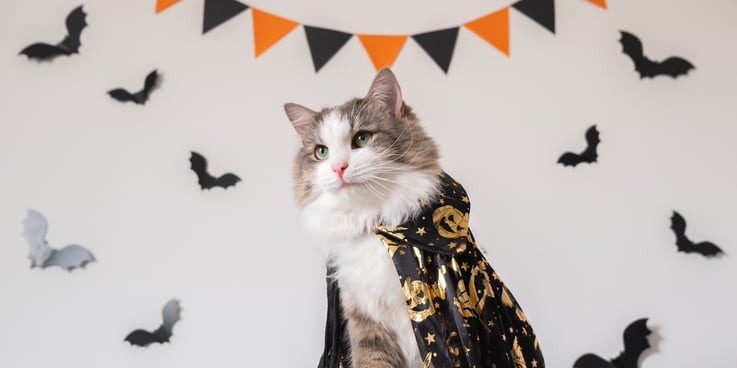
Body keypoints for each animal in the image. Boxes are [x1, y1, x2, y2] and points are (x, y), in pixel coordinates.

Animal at [284, 68, 544, 368]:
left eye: (362, 139)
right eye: (321, 152)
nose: (338, 168)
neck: (375, 223)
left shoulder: (438, 328)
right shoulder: (365, 324)